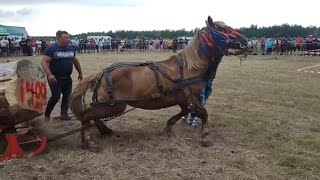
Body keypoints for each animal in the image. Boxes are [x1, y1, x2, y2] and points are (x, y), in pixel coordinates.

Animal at [70, 16, 250, 151]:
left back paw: (104, 131)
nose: (246, 42)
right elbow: (203, 112)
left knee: (91, 115)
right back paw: (89, 141)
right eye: (224, 30)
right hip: (114, 106)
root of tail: (101, 73)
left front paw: (169, 128)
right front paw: (205, 136)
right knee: (87, 115)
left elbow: (185, 111)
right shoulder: (190, 96)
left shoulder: (182, 98)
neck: (189, 67)